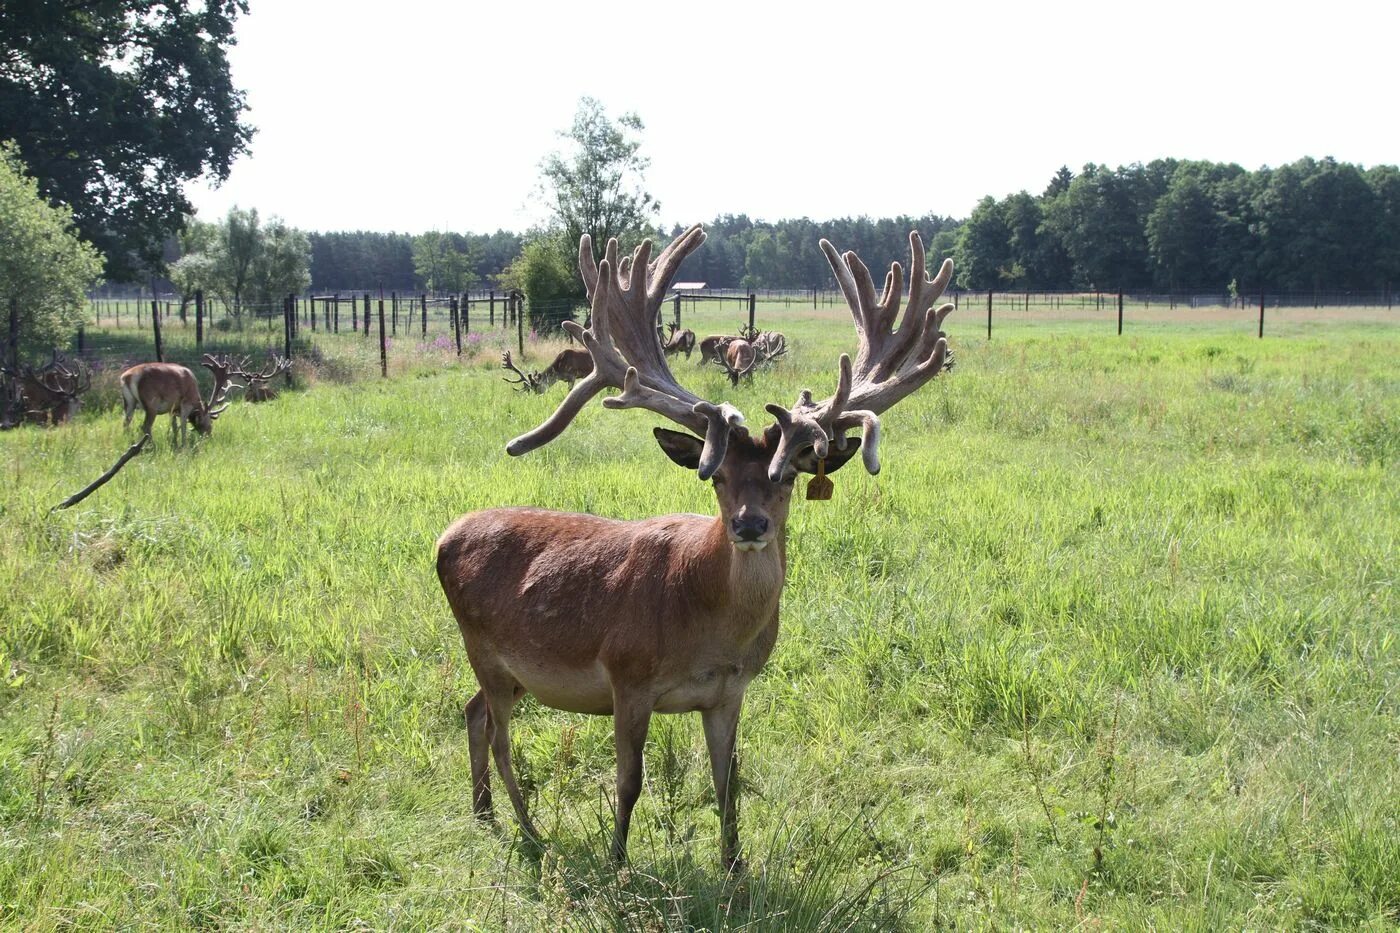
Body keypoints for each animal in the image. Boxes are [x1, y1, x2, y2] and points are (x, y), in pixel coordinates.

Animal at [436, 221, 957, 868]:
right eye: (717, 475)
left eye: (789, 475)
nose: (750, 526)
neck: (708, 627)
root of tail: (443, 538)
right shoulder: (627, 675)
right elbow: (629, 781)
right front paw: (618, 863)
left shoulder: (730, 691)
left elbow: (727, 782)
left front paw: (735, 867)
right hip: (480, 643)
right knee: (501, 735)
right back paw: (529, 830)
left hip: (504, 669)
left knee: (474, 712)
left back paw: (484, 812)